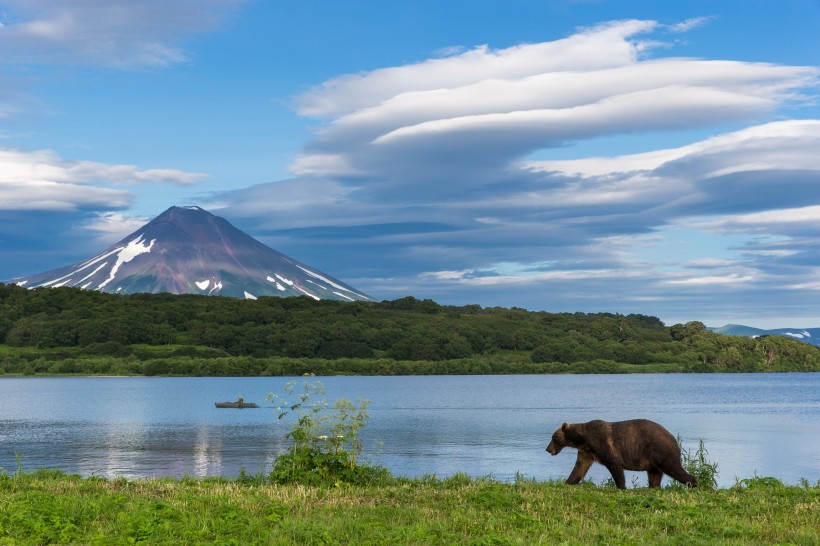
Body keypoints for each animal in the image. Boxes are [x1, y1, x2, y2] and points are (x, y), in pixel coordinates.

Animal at [548, 416, 696, 488]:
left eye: (554, 437)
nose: (548, 449)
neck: (584, 439)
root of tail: (673, 438)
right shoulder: (586, 453)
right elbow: (579, 468)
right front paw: (567, 482)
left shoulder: (603, 445)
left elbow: (615, 467)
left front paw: (621, 486)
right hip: (653, 461)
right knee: (654, 476)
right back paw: (654, 487)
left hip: (661, 451)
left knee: (674, 468)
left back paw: (694, 483)